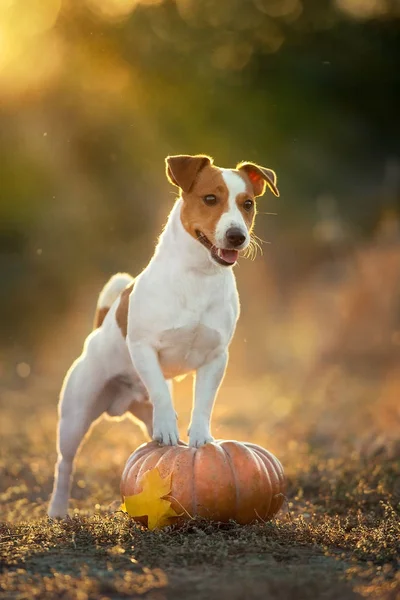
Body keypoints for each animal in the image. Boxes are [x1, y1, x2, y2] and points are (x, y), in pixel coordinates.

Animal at [47, 155, 278, 516]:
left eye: (247, 204)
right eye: (210, 198)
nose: (237, 236)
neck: (198, 275)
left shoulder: (216, 357)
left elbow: (204, 401)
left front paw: (199, 438)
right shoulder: (143, 348)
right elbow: (160, 391)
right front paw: (170, 429)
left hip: (140, 414)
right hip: (75, 415)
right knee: (65, 464)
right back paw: (57, 511)